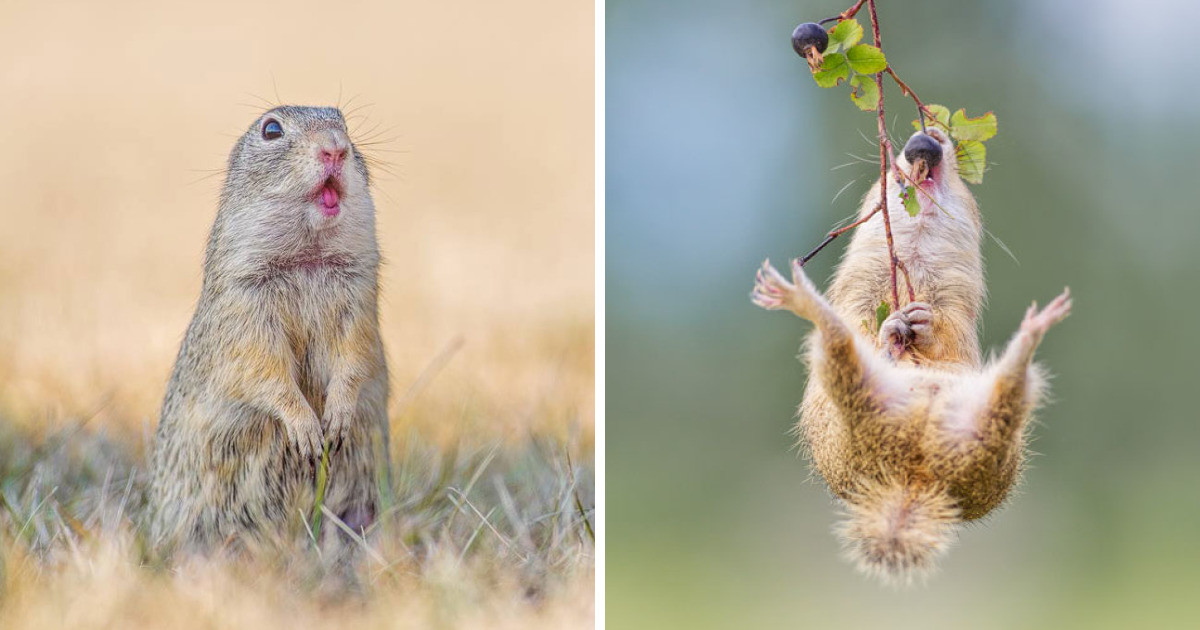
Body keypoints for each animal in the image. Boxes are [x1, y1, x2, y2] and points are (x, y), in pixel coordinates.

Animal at [151, 105, 388, 552]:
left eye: (343, 122)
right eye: (272, 129)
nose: (335, 147)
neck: (308, 258)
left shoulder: (359, 301)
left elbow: (355, 357)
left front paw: (338, 416)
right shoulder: (244, 310)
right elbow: (264, 370)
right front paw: (306, 429)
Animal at [753, 129, 1075, 585]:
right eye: (885, 177)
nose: (925, 143)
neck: (916, 270)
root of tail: (912, 477)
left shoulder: (958, 312)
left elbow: (949, 333)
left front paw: (924, 321)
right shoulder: (858, 297)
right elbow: (862, 326)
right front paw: (893, 327)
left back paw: (1035, 326)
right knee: (838, 338)